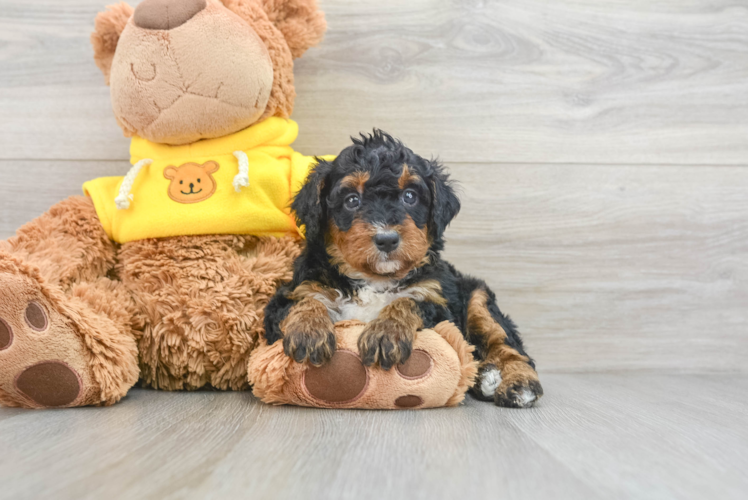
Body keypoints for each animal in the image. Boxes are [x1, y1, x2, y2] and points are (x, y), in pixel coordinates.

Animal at [264, 132, 544, 406]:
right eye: (352, 200)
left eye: (409, 196)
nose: (387, 239)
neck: (375, 279)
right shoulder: (292, 292)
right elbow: (305, 300)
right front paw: (308, 332)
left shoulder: (438, 301)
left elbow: (410, 301)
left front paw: (386, 334)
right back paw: (486, 378)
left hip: (477, 296)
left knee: (506, 344)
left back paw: (518, 383)